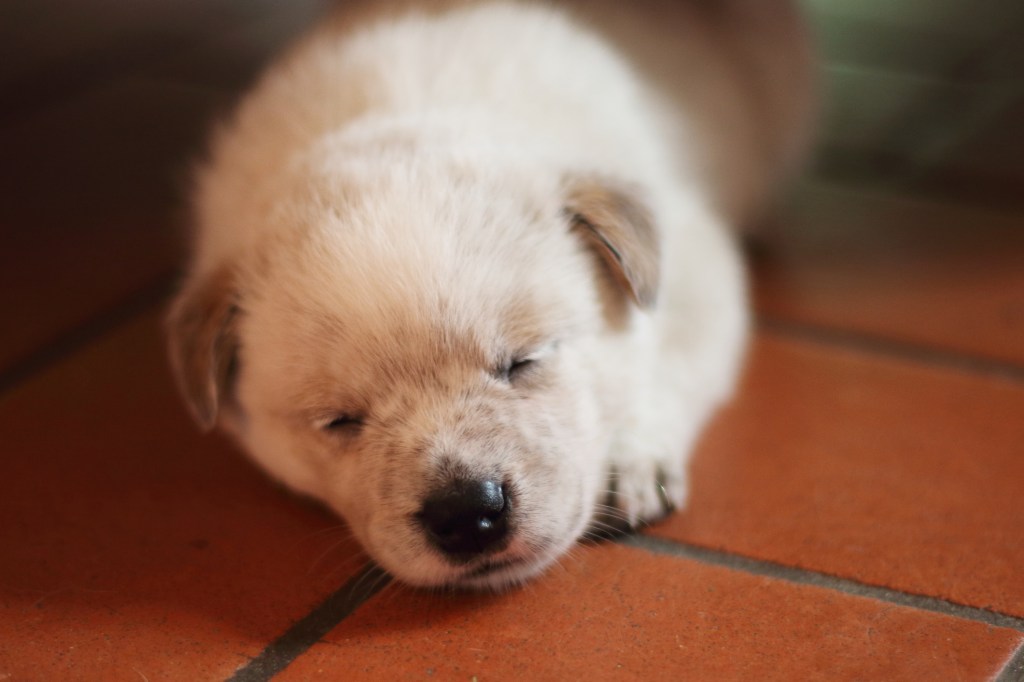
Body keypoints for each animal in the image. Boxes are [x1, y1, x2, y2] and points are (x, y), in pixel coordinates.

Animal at [167, 0, 811, 589]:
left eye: (523, 363)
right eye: (339, 420)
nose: (467, 513)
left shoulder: (697, 265)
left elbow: (669, 367)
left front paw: (633, 461)